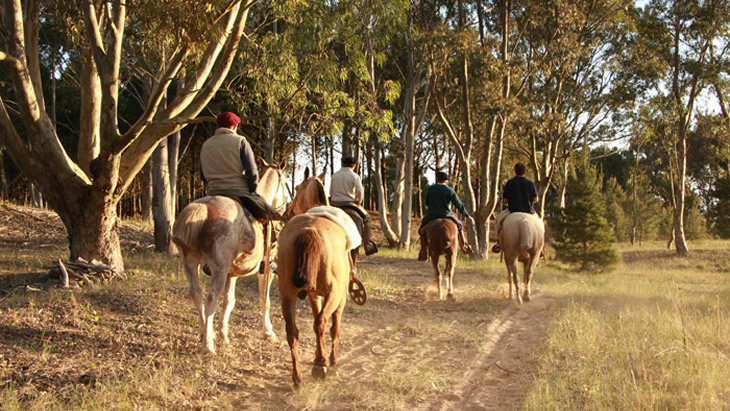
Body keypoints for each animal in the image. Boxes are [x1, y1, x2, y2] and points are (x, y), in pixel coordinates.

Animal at [171, 159, 284, 356]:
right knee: (210, 298)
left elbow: (229, 301)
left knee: (196, 293)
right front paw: (268, 332)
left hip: (190, 262)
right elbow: (265, 300)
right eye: (285, 183)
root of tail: (202, 208)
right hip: (219, 269)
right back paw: (208, 345)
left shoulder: (232, 275)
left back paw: (206, 334)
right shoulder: (266, 271)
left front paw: (223, 334)